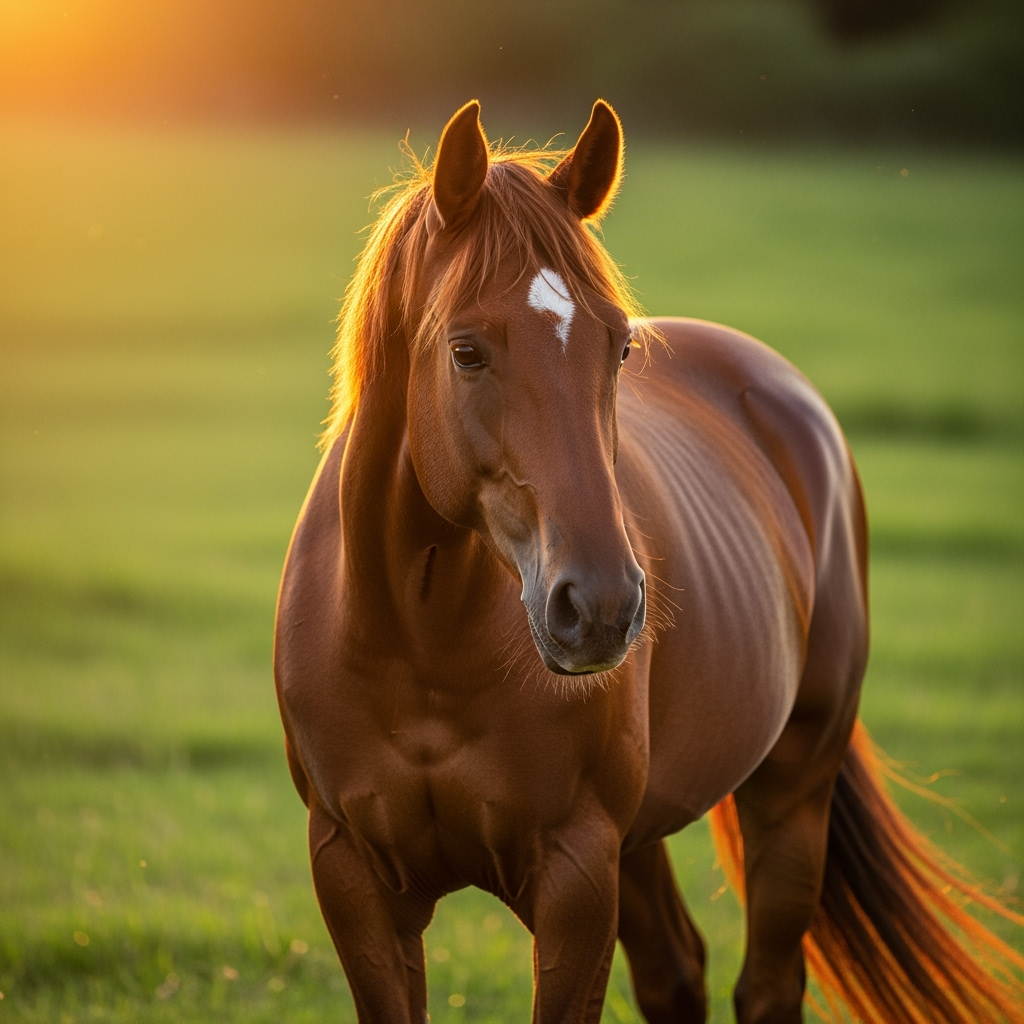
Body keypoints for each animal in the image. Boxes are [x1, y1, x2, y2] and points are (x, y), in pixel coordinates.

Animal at [274, 100, 1023, 1022]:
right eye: (466, 350)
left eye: (619, 348)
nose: (600, 607)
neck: (419, 640)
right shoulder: (354, 880)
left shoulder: (576, 876)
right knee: (676, 971)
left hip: (791, 790)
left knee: (767, 983)